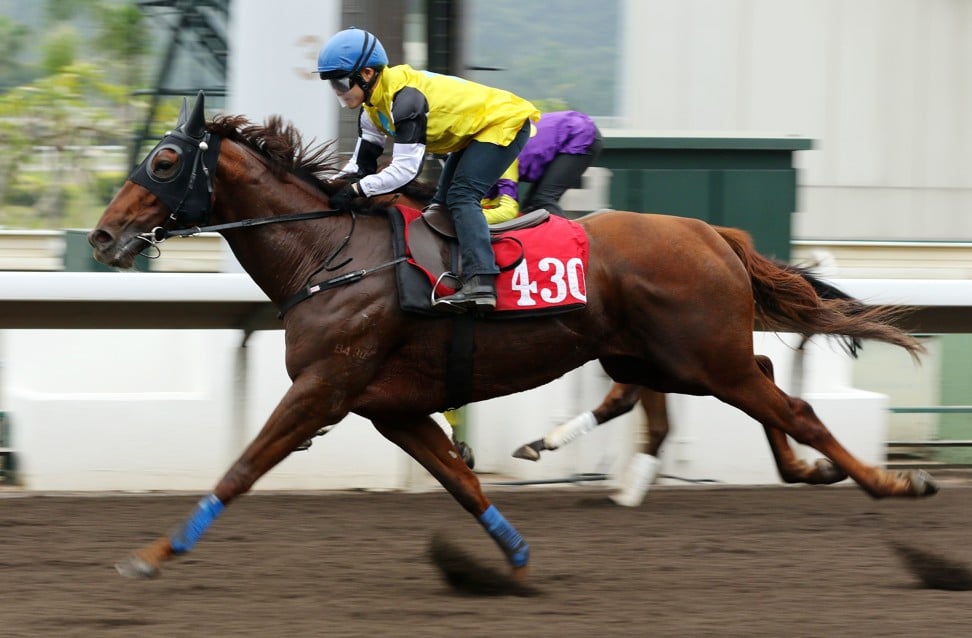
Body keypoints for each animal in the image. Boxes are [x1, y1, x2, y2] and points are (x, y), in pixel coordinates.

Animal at [89, 92, 936, 585]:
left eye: (165, 159)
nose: (101, 236)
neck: (330, 254)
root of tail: (711, 232)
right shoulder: (389, 406)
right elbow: (460, 482)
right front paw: (515, 556)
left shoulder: (323, 390)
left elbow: (242, 467)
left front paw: (155, 553)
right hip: (668, 356)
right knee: (752, 379)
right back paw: (805, 472)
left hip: (699, 355)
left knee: (795, 408)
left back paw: (892, 484)